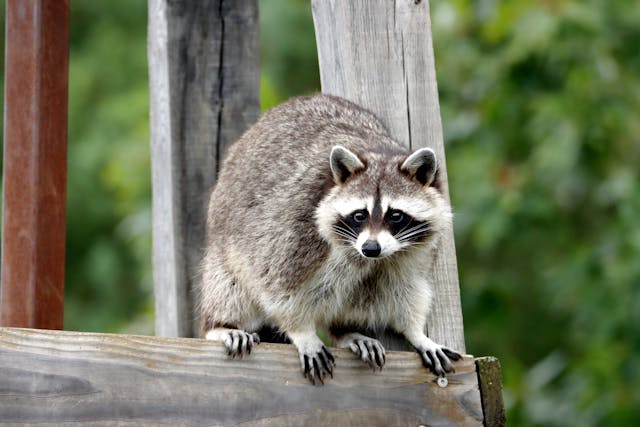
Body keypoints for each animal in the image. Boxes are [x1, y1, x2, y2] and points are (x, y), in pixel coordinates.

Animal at [200, 93, 460, 384]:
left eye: (395, 215)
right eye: (359, 215)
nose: (371, 248)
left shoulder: (411, 253)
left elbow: (407, 288)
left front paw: (415, 332)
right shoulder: (295, 227)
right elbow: (277, 286)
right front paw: (301, 331)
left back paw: (346, 331)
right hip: (224, 250)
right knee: (229, 287)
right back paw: (220, 324)